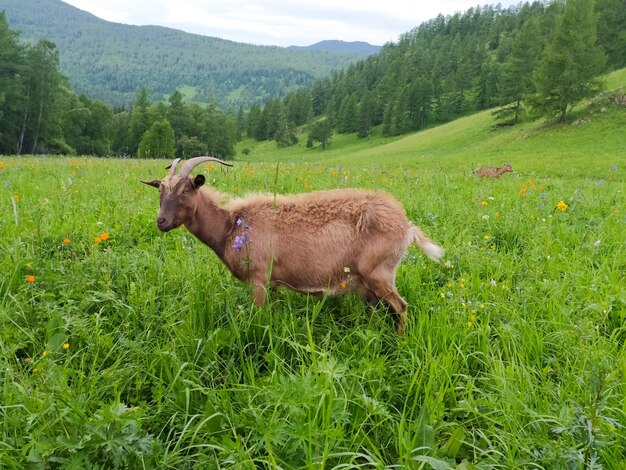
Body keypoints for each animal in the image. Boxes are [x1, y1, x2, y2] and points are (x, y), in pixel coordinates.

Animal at [143, 158, 444, 334]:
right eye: (160, 191)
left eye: (185, 191)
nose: (161, 221)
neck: (231, 226)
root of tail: (406, 226)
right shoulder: (273, 282)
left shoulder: (258, 277)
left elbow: (259, 314)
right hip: (368, 281)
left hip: (379, 272)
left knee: (400, 306)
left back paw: (401, 341)